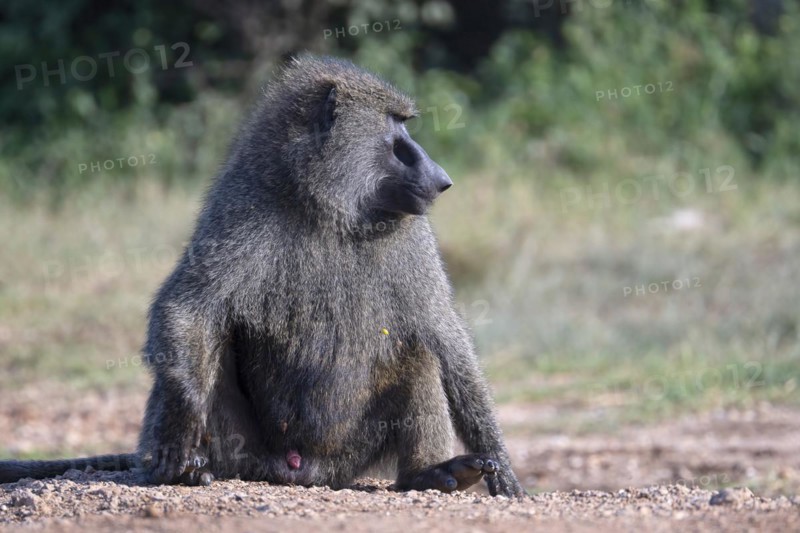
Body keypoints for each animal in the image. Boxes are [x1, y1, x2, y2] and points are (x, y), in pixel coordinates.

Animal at [0, 55, 526, 498]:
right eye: (397, 132)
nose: (442, 178)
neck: (326, 209)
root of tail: (302, 471)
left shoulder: (413, 238)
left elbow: (443, 335)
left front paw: (501, 465)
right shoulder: (238, 210)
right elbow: (189, 308)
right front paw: (182, 425)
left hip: (349, 455)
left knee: (417, 355)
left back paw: (428, 474)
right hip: (245, 454)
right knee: (209, 346)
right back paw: (178, 468)